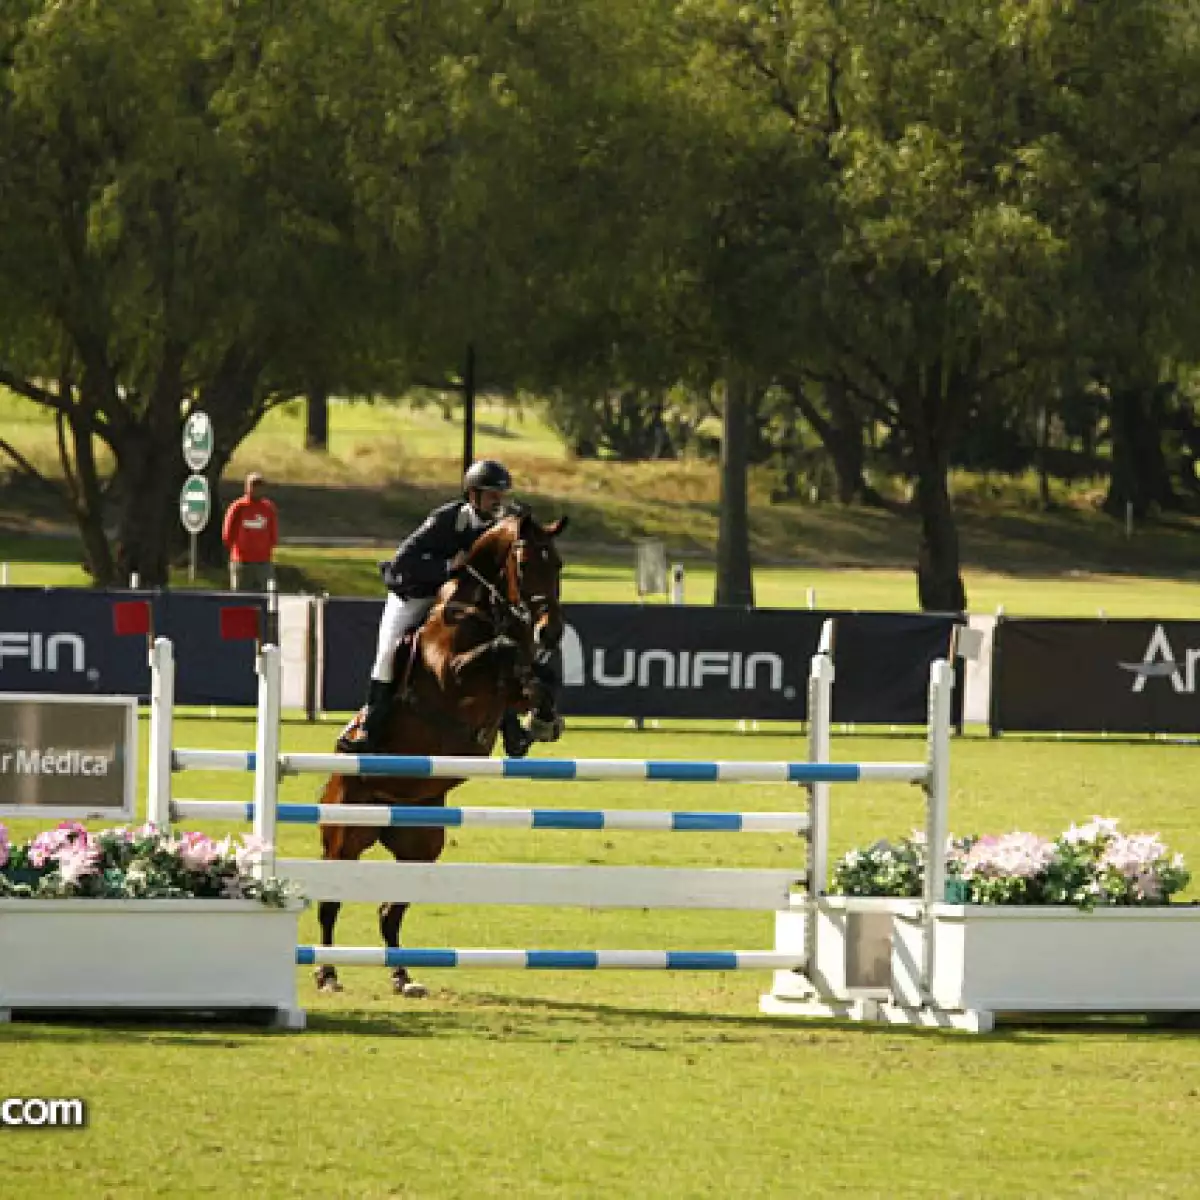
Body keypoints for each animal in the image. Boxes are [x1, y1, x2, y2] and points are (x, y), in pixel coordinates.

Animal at [314, 506, 566, 993]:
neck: (483, 609)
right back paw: (328, 973)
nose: (552, 633)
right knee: (329, 903)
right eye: (525, 563)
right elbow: (504, 652)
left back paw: (402, 976)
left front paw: (540, 723)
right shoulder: (456, 678)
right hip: (345, 835)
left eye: (560, 565)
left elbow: (533, 682)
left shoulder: (509, 689)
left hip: (422, 844)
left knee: (389, 913)